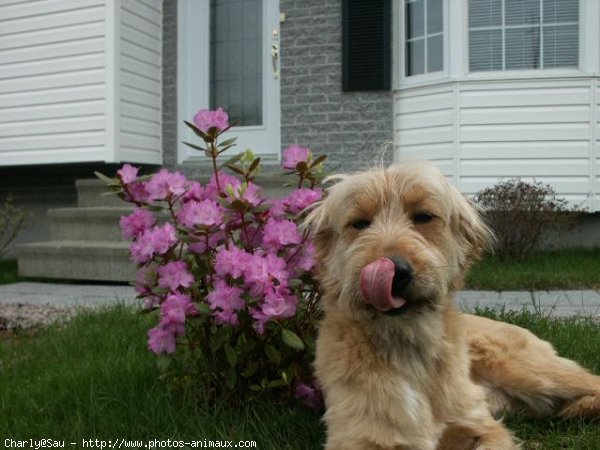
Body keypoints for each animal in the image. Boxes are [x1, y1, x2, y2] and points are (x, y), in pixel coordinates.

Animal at [308, 162, 600, 450]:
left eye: (423, 217)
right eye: (359, 223)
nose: (397, 273)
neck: (407, 346)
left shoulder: (483, 425)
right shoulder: (353, 438)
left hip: (524, 368)